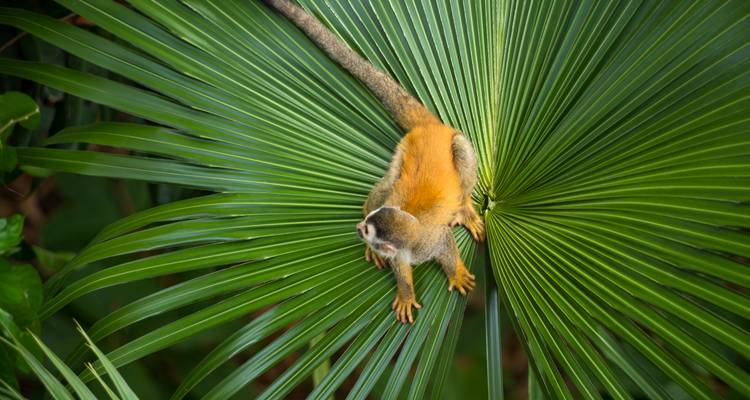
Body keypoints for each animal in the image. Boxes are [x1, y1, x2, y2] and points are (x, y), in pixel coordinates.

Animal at [265, 0, 485, 324]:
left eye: (369, 230)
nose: (359, 228)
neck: (410, 242)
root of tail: (428, 129)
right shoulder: (401, 250)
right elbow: (400, 267)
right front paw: (405, 292)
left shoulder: (433, 241)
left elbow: (446, 245)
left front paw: (454, 271)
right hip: (402, 150)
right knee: (391, 180)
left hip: (454, 141)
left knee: (462, 155)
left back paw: (466, 206)